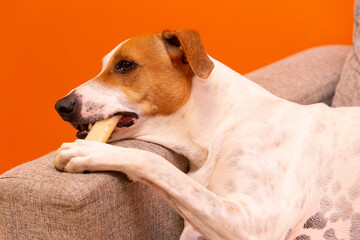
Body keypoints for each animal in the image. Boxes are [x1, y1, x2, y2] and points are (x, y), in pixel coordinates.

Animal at [53, 30, 360, 240]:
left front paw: (91, 152)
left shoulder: (253, 220)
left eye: (125, 65)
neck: (220, 127)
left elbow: (156, 164)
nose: (61, 106)